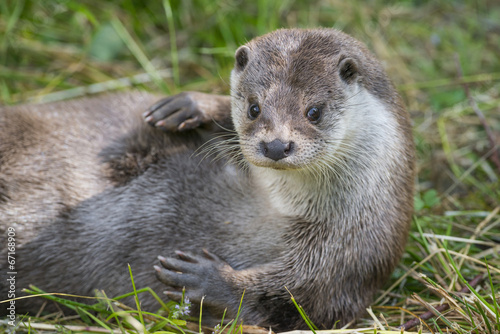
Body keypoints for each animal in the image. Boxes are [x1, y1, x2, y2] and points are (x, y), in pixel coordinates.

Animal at [0, 28, 414, 328]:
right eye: (253, 107)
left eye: (314, 111)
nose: (276, 145)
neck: (280, 204)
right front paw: (190, 105)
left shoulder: (351, 255)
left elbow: (294, 297)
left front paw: (207, 279)